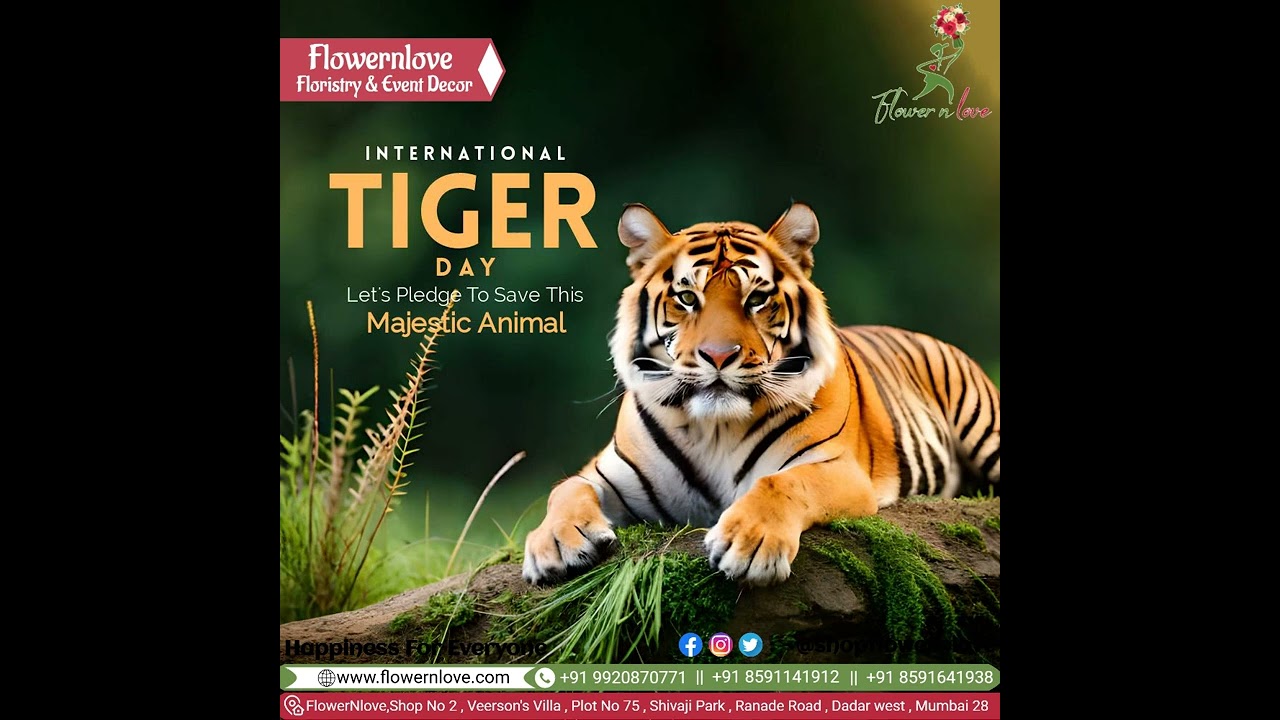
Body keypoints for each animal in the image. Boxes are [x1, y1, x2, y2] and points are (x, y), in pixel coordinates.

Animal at [522, 202, 1000, 587]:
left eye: (756, 298)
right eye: (686, 297)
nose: (718, 355)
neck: (714, 428)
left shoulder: (838, 469)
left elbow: (781, 482)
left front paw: (748, 544)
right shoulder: (610, 474)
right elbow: (565, 488)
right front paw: (557, 543)